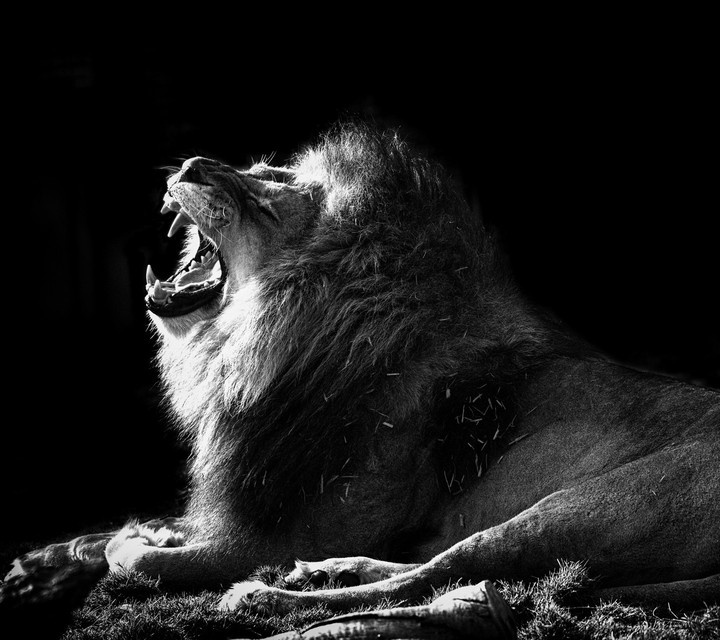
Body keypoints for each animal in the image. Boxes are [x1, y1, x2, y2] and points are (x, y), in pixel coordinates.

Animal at [7, 121, 719, 617]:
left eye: (271, 190)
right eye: (257, 166)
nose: (192, 163)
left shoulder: (262, 539)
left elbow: (139, 559)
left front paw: (134, 543)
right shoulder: (250, 507)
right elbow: (113, 528)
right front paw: (40, 564)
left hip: (584, 508)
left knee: (444, 576)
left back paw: (273, 596)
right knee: (441, 569)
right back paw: (332, 570)